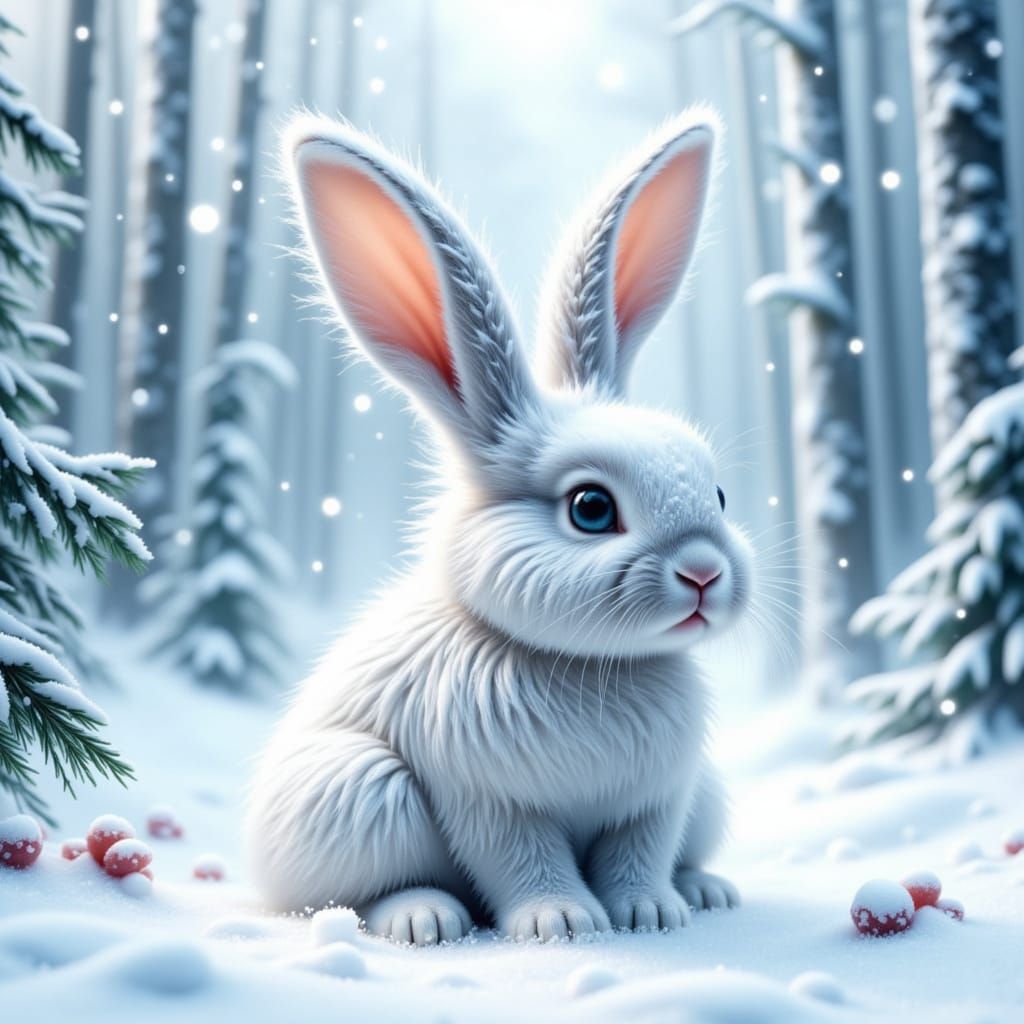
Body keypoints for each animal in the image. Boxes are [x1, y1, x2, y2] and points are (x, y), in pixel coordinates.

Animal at [247, 106, 752, 945]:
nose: (705, 573)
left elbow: (640, 856)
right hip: (359, 790)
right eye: (591, 509)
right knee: (352, 893)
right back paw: (424, 918)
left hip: (709, 793)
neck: (591, 665)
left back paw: (709, 888)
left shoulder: (660, 797)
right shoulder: (485, 795)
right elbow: (521, 859)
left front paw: (652, 913)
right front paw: (563, 923)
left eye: (716, 493)